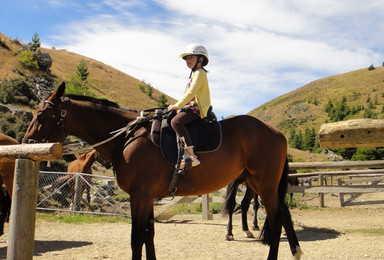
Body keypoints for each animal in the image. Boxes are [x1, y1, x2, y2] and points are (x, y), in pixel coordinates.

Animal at [23, 84, 304, 260]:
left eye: (42, 114)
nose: (26, 142)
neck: (127, 137)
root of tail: (276, 132)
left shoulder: (139, 196)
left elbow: (137, 238)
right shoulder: (147, 197)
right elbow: (149, 235)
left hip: (264, 183)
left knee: (277, 219)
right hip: (257, 183)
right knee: (283, 214)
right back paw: (295, 251)